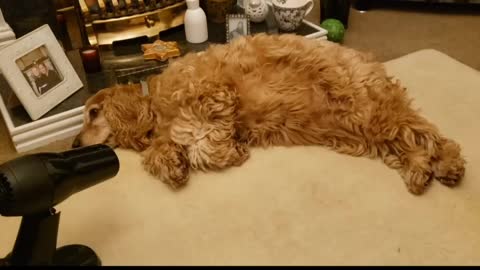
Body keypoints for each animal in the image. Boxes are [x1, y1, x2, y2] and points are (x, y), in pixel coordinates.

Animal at [73, 33, 466, 194]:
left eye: (92, 112)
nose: (74, 144)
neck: (153, 101)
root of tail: (373, 66)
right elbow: (162, 151)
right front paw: (172, 164)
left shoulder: (212, 93)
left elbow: (201, 140)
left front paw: (227, 151)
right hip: (362, 128)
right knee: (418, 138)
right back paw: (433, 169)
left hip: (367, 109)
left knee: (426, 135)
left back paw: (435, 169)